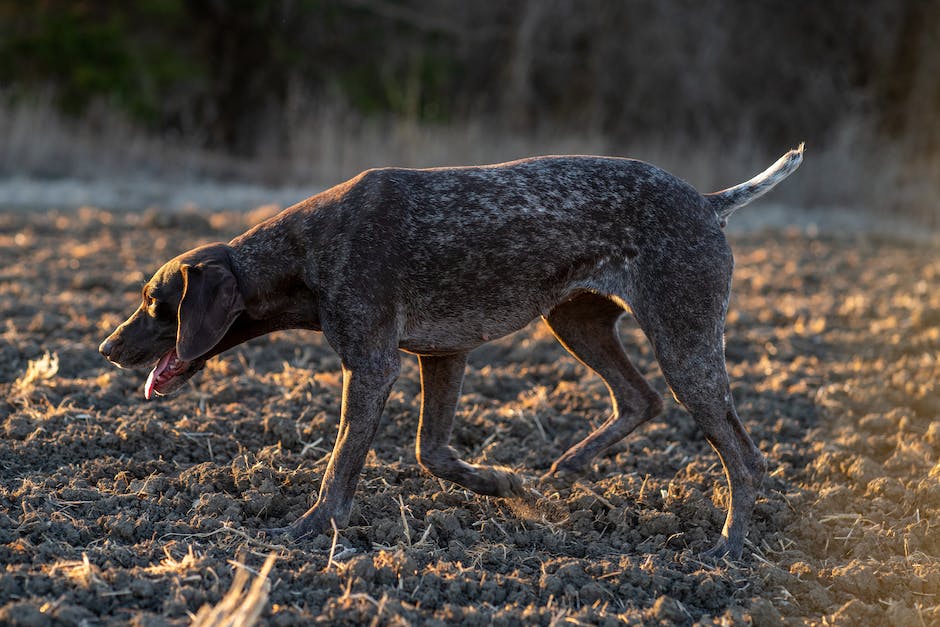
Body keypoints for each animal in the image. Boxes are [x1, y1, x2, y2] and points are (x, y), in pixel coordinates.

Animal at [104, 146, 808, 560]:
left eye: (154, 302)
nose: (108, 348)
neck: (301, 255)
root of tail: (709, 205)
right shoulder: (442, 354)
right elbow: (432, 453)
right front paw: (504, 485)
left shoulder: (374, 364)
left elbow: (342, 463)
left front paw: (310, 528)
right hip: (575, 320)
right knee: (640, 399)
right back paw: (569, 469)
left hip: (685, 342)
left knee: (744, 456)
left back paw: (729, 550)